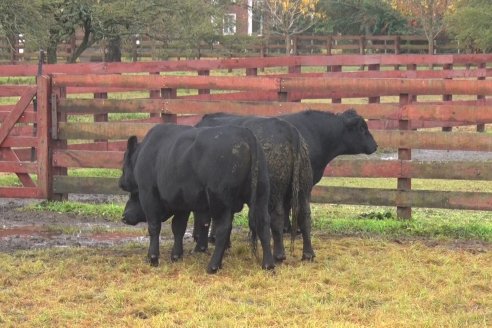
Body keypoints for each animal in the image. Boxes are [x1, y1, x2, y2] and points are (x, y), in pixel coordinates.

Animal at [117, 124, 274, 272]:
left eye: (135, 195)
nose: (124, 216)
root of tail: (245, 133)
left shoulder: (148, 194)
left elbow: (154, 227)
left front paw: (153, 258)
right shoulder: (181, 202)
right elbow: (178, 227)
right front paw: (176, 255)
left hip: (220, 201)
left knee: (223, 229)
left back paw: (213, 266)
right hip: (261, 195)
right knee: (263, 224)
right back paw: (268, 265)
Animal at [194, 114, 314, 262]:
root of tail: (289, 130)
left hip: (275, 191)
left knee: (277, 217)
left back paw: (279, 254)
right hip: (304, 186)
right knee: (304, 214)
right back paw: (308, 254)